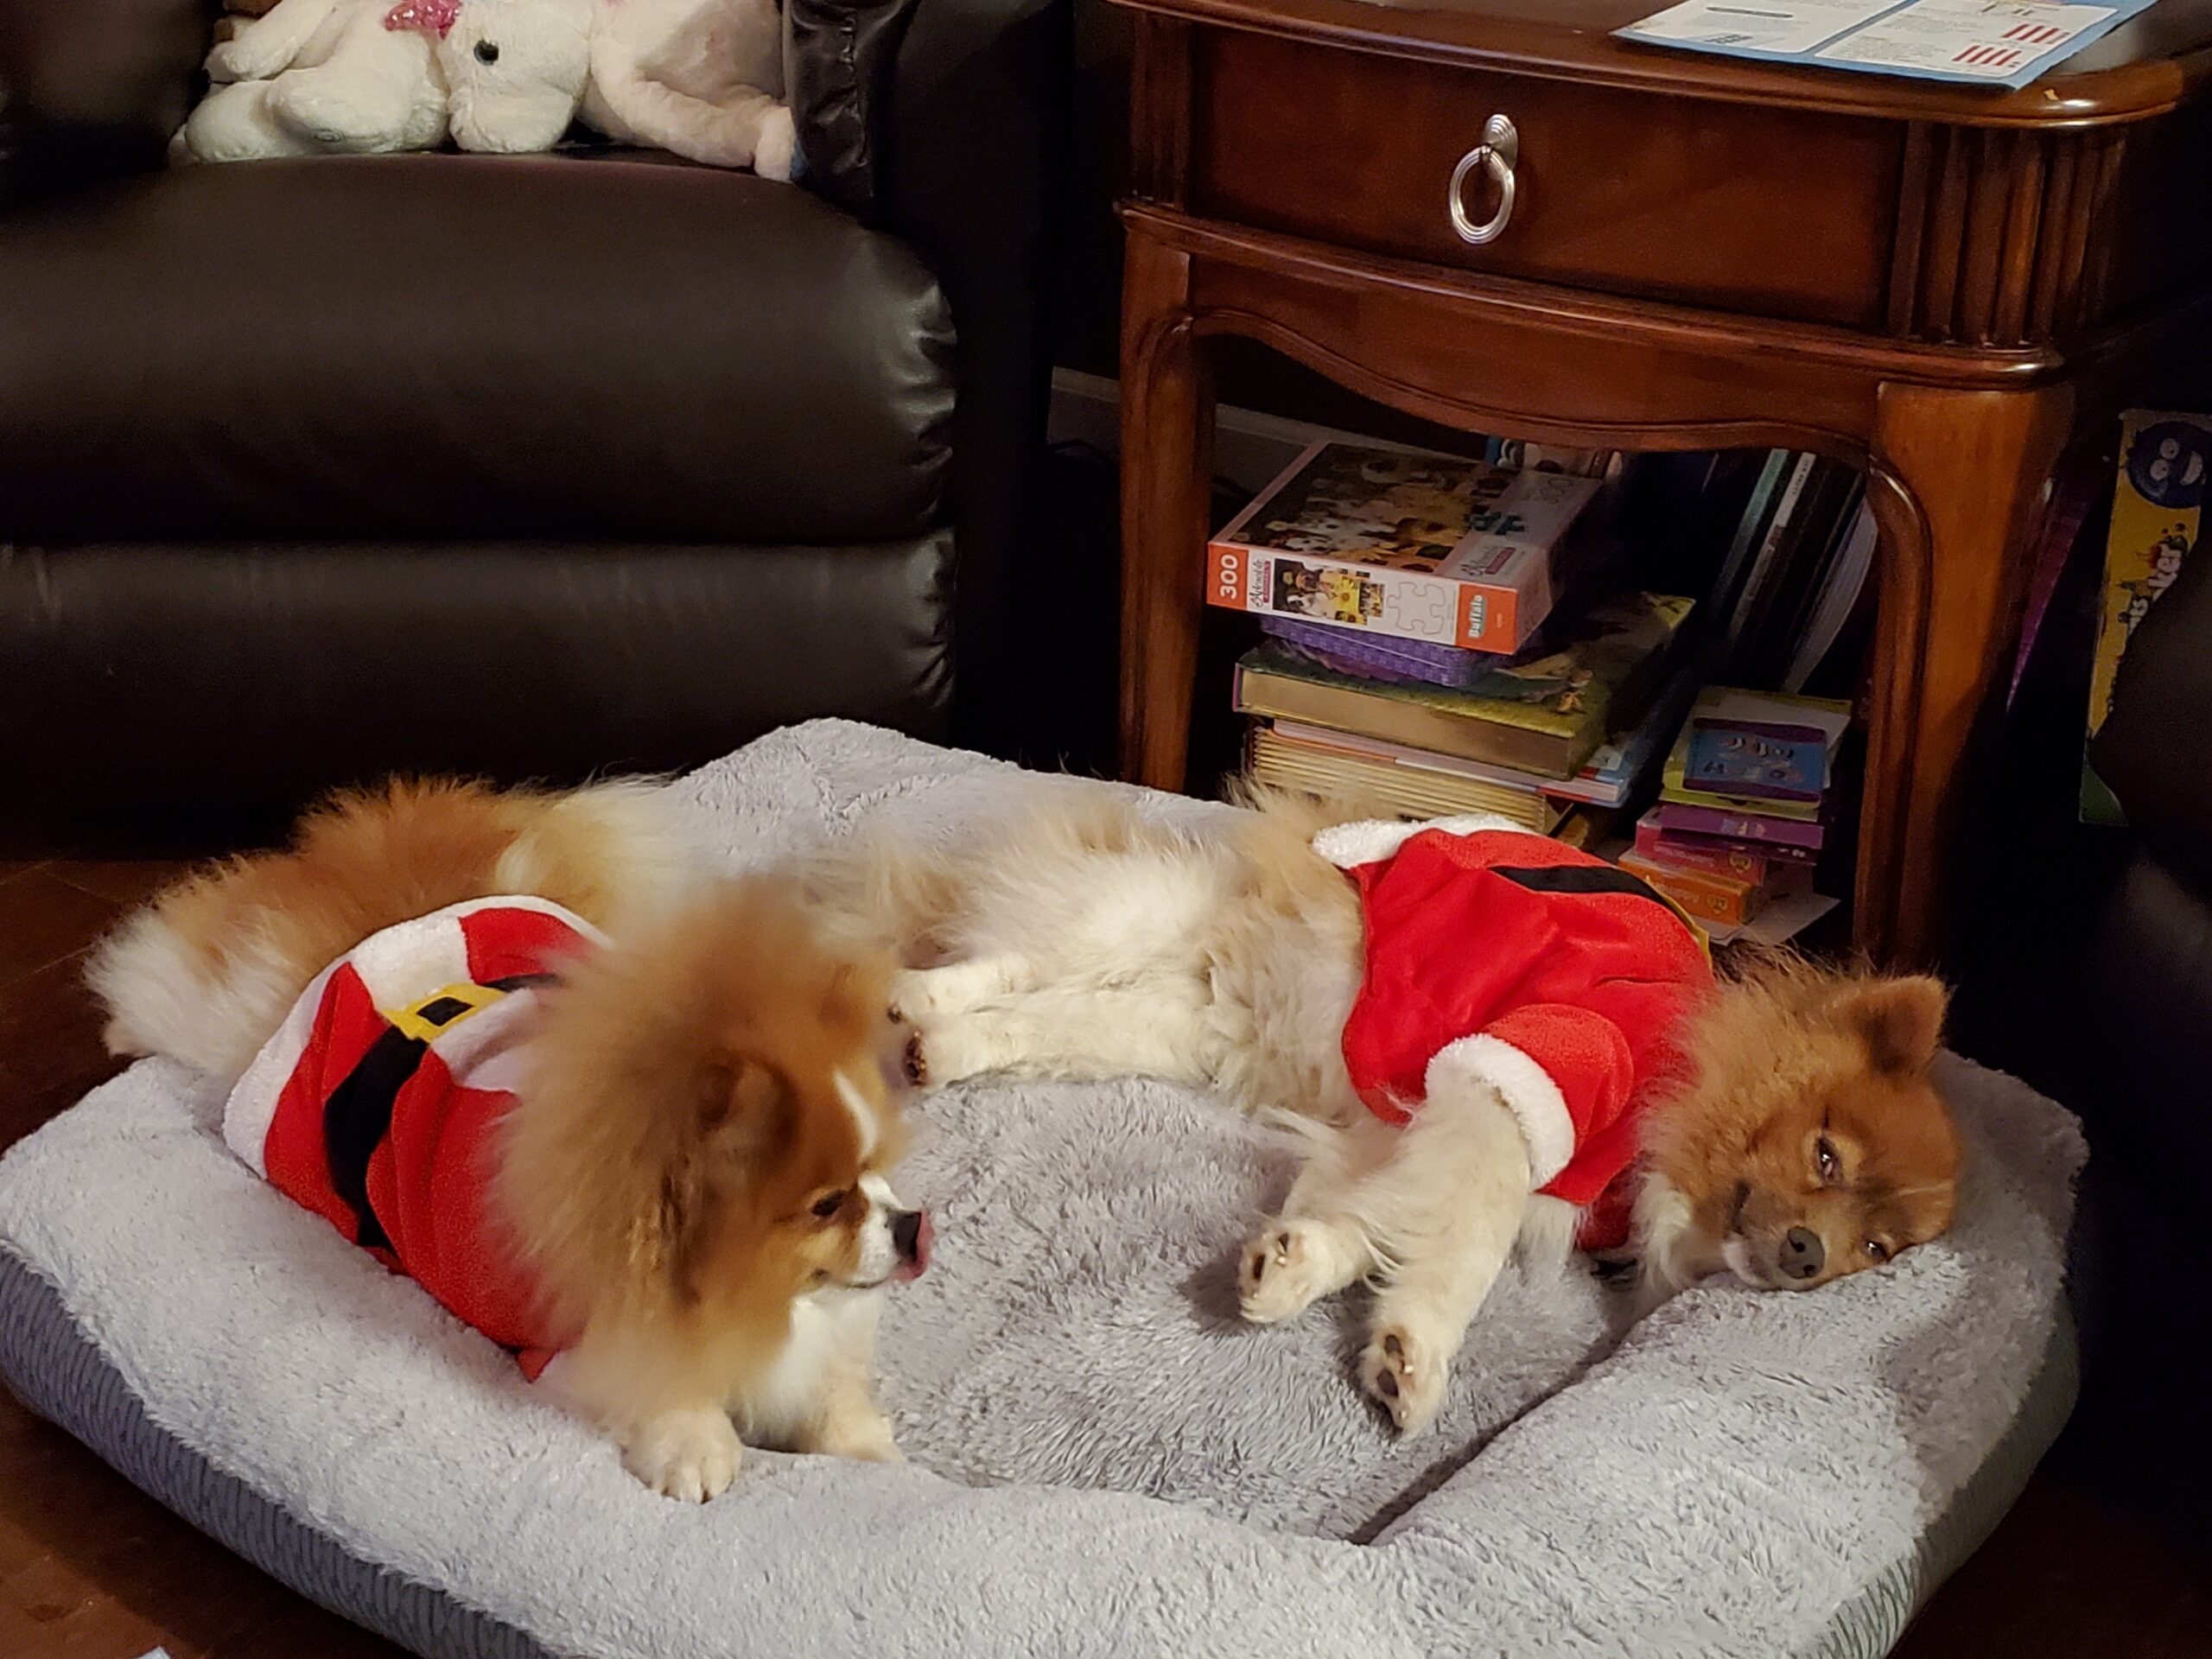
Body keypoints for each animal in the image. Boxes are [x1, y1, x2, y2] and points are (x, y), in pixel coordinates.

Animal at [88, 783, 925, 1503]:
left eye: (880, 1172)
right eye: (825, 1205)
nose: (913, 1225)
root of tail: (410, 915)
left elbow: (833, 1384)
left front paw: (867, 1449)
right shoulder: (582, 1346)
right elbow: (661, 1388)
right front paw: (695, 1451)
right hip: (245, 1035)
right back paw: (124, 1024)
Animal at [814, 787, 1955, 1433]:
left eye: (1878, 1252)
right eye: (1824, 1156)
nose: (1808, 1256)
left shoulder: (1404, 1134)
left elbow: (1372, 1222)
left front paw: (1290, 1270)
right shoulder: (1528, 1080)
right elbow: (1465, 1250)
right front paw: (1418, 1357)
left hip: (1167, 1023)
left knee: (1037, 1017)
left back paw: (939, 1045)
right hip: (1130, 922)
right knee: (1002, 956)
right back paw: (914, 997)